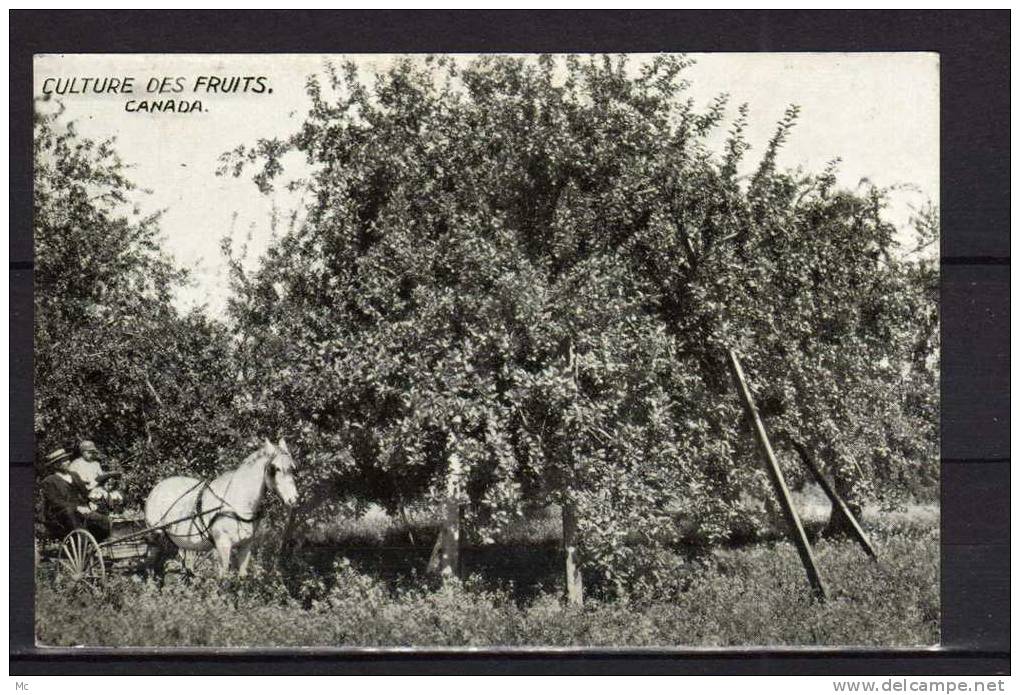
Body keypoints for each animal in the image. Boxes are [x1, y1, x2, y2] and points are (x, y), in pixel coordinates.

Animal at [145, 438, 299, 575]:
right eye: (275, 468)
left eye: (292, 468)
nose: (294, 499)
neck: (237, 504)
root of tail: (158, 486)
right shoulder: (223, 545)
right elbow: (223, 579)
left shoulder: (246, 545)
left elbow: (241, 577)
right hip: (155, 535)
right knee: (151, 566)